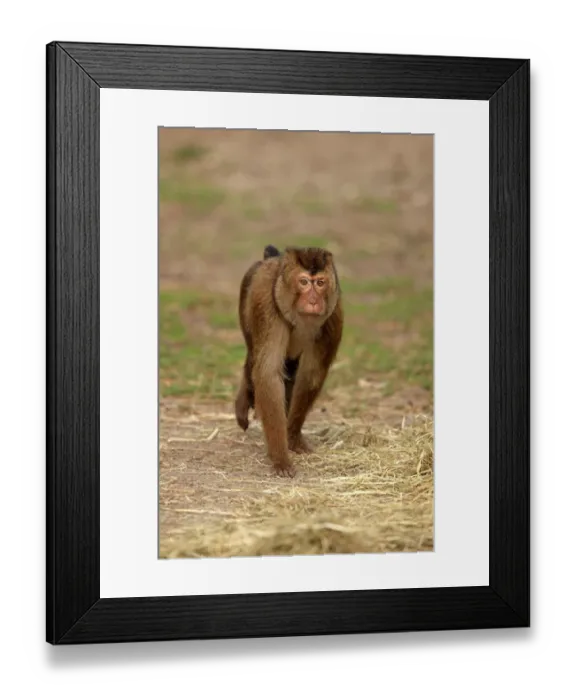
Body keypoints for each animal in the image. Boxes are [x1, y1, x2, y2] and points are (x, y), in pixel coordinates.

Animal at [234, 244, 343, 477]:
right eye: (304, 282)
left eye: (320, 283)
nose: (313, 301)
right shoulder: (268, 308)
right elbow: (268, 374)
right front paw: (280, 458)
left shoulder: (333, 313)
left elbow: (312, 372)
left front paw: (292, 436)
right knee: (253, 358)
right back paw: (244, 397)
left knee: (291, 369)